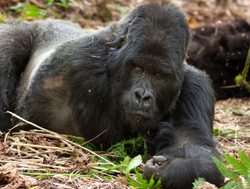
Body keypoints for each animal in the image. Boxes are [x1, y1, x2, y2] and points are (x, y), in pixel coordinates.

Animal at [0, 1, 223, 189]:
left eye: (158, 75)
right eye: (138, 69)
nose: (142, 96)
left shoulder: (195, 87)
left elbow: (199, 152)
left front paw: (169, 169)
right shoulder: (81, 61)